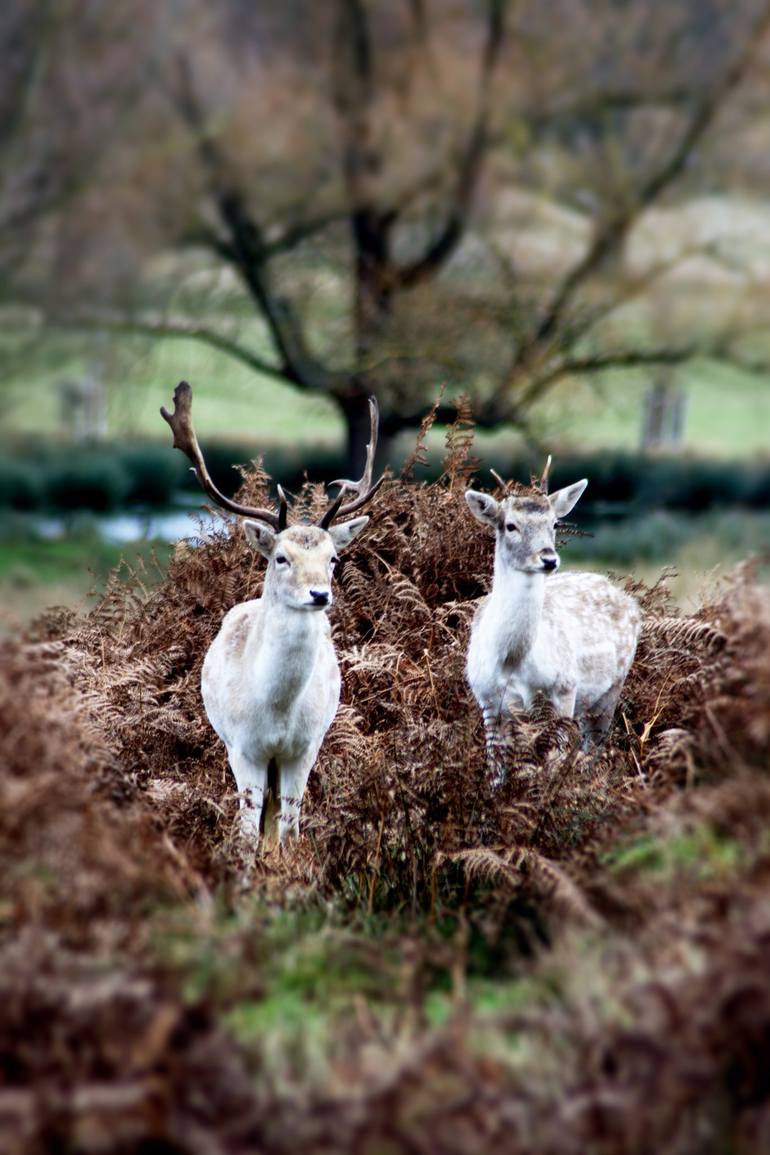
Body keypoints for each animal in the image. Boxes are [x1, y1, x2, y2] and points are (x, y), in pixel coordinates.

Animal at [161, 383, 383, 845]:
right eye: (281, 558)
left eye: (333, 558)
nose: (319, 594)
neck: (276, 711)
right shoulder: (243, 748)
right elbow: (247, 833)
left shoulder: (305, 748)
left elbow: (289, 830)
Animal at [466, 455, 641, 771]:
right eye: (510, 525)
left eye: (555, 523)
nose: (548, 559)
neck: (512, 662)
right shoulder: (487, 699)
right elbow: (496, 772)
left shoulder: (563, 689)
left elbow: (551, 767)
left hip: (611, 690)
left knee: (593, 749)